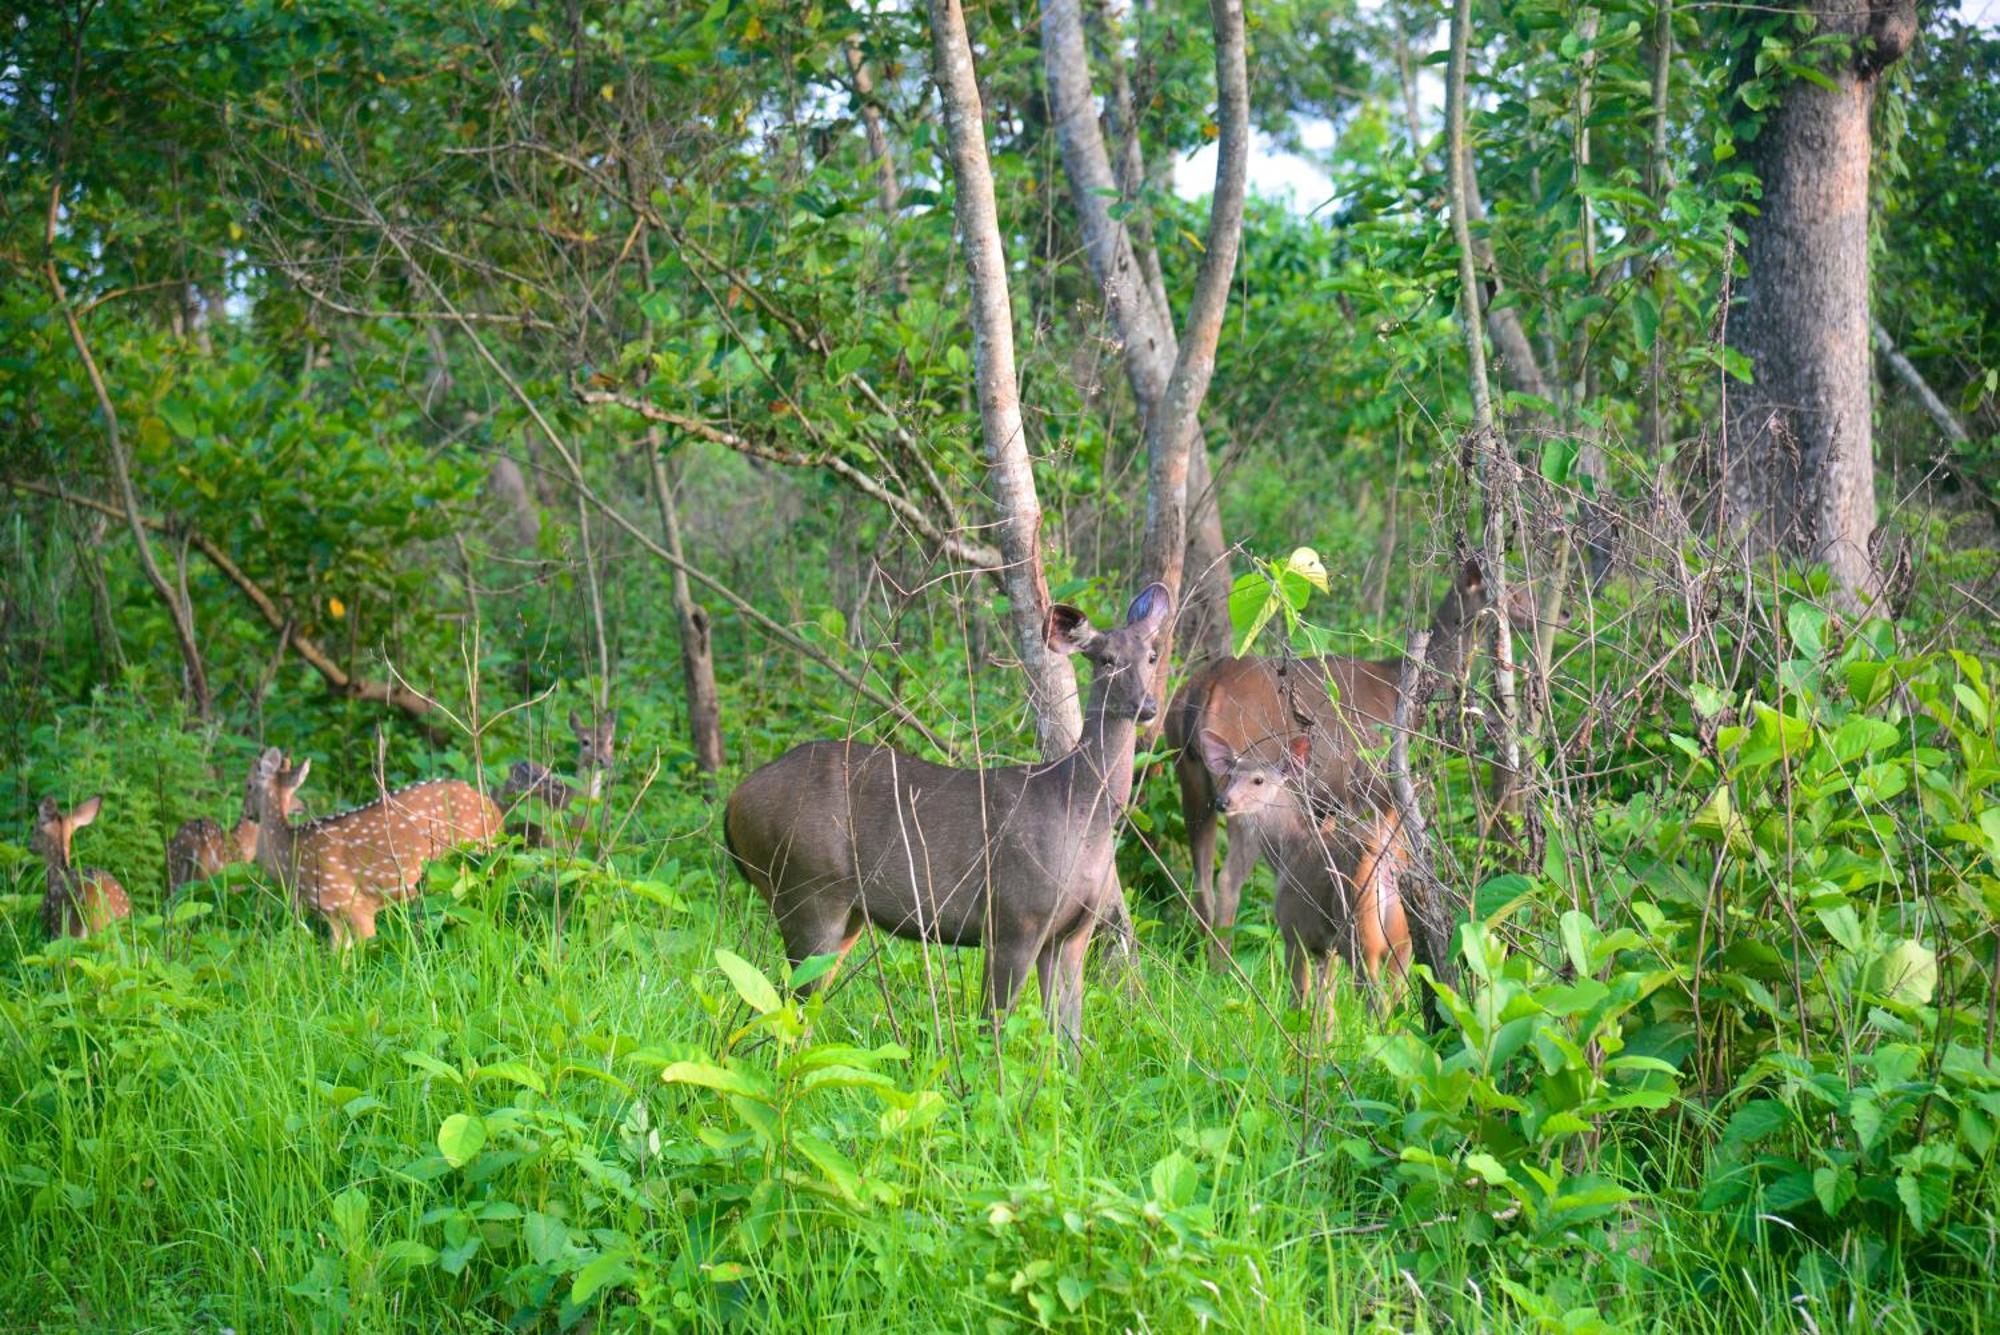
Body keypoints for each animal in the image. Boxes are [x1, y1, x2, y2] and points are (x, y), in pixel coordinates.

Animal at [249, 751, 504, 947]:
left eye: (248, 784)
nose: (248, 814)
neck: (289, 856)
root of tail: (494, 809)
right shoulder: (332, 913)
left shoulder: (352, 901)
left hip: (470, 860)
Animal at [724, 583, 1168, 1055]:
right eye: (1106, 660)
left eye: (1152, 655)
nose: (1147, 706)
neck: (1080, 811)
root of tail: (734, 802)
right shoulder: (1014, 917)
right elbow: (991, 1028)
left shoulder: (1072, 935)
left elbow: (1068, 1042)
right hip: (807, 887)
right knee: (784, 1004)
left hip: (844, 913)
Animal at [1168, 559, 1520, 963]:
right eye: (1510, 590)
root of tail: (1203, 689)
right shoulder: (1372, 785)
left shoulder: (1331, 802)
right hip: (1245, 788)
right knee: (1226, 878)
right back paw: (1221, 964)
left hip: (1190, 778)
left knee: (1200, 875)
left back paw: (1199, 953)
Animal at [1192, 735, 1416, 1015]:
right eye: (1230, 775)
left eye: (1258, 780)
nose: (1223, 802)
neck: (1286, 854)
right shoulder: (1325, 947)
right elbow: (1325, 1005)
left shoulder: (1293, 931)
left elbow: (1298, 997)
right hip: (1401, 935)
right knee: (1400, 995)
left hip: (1359, 928)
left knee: (1377, 997)